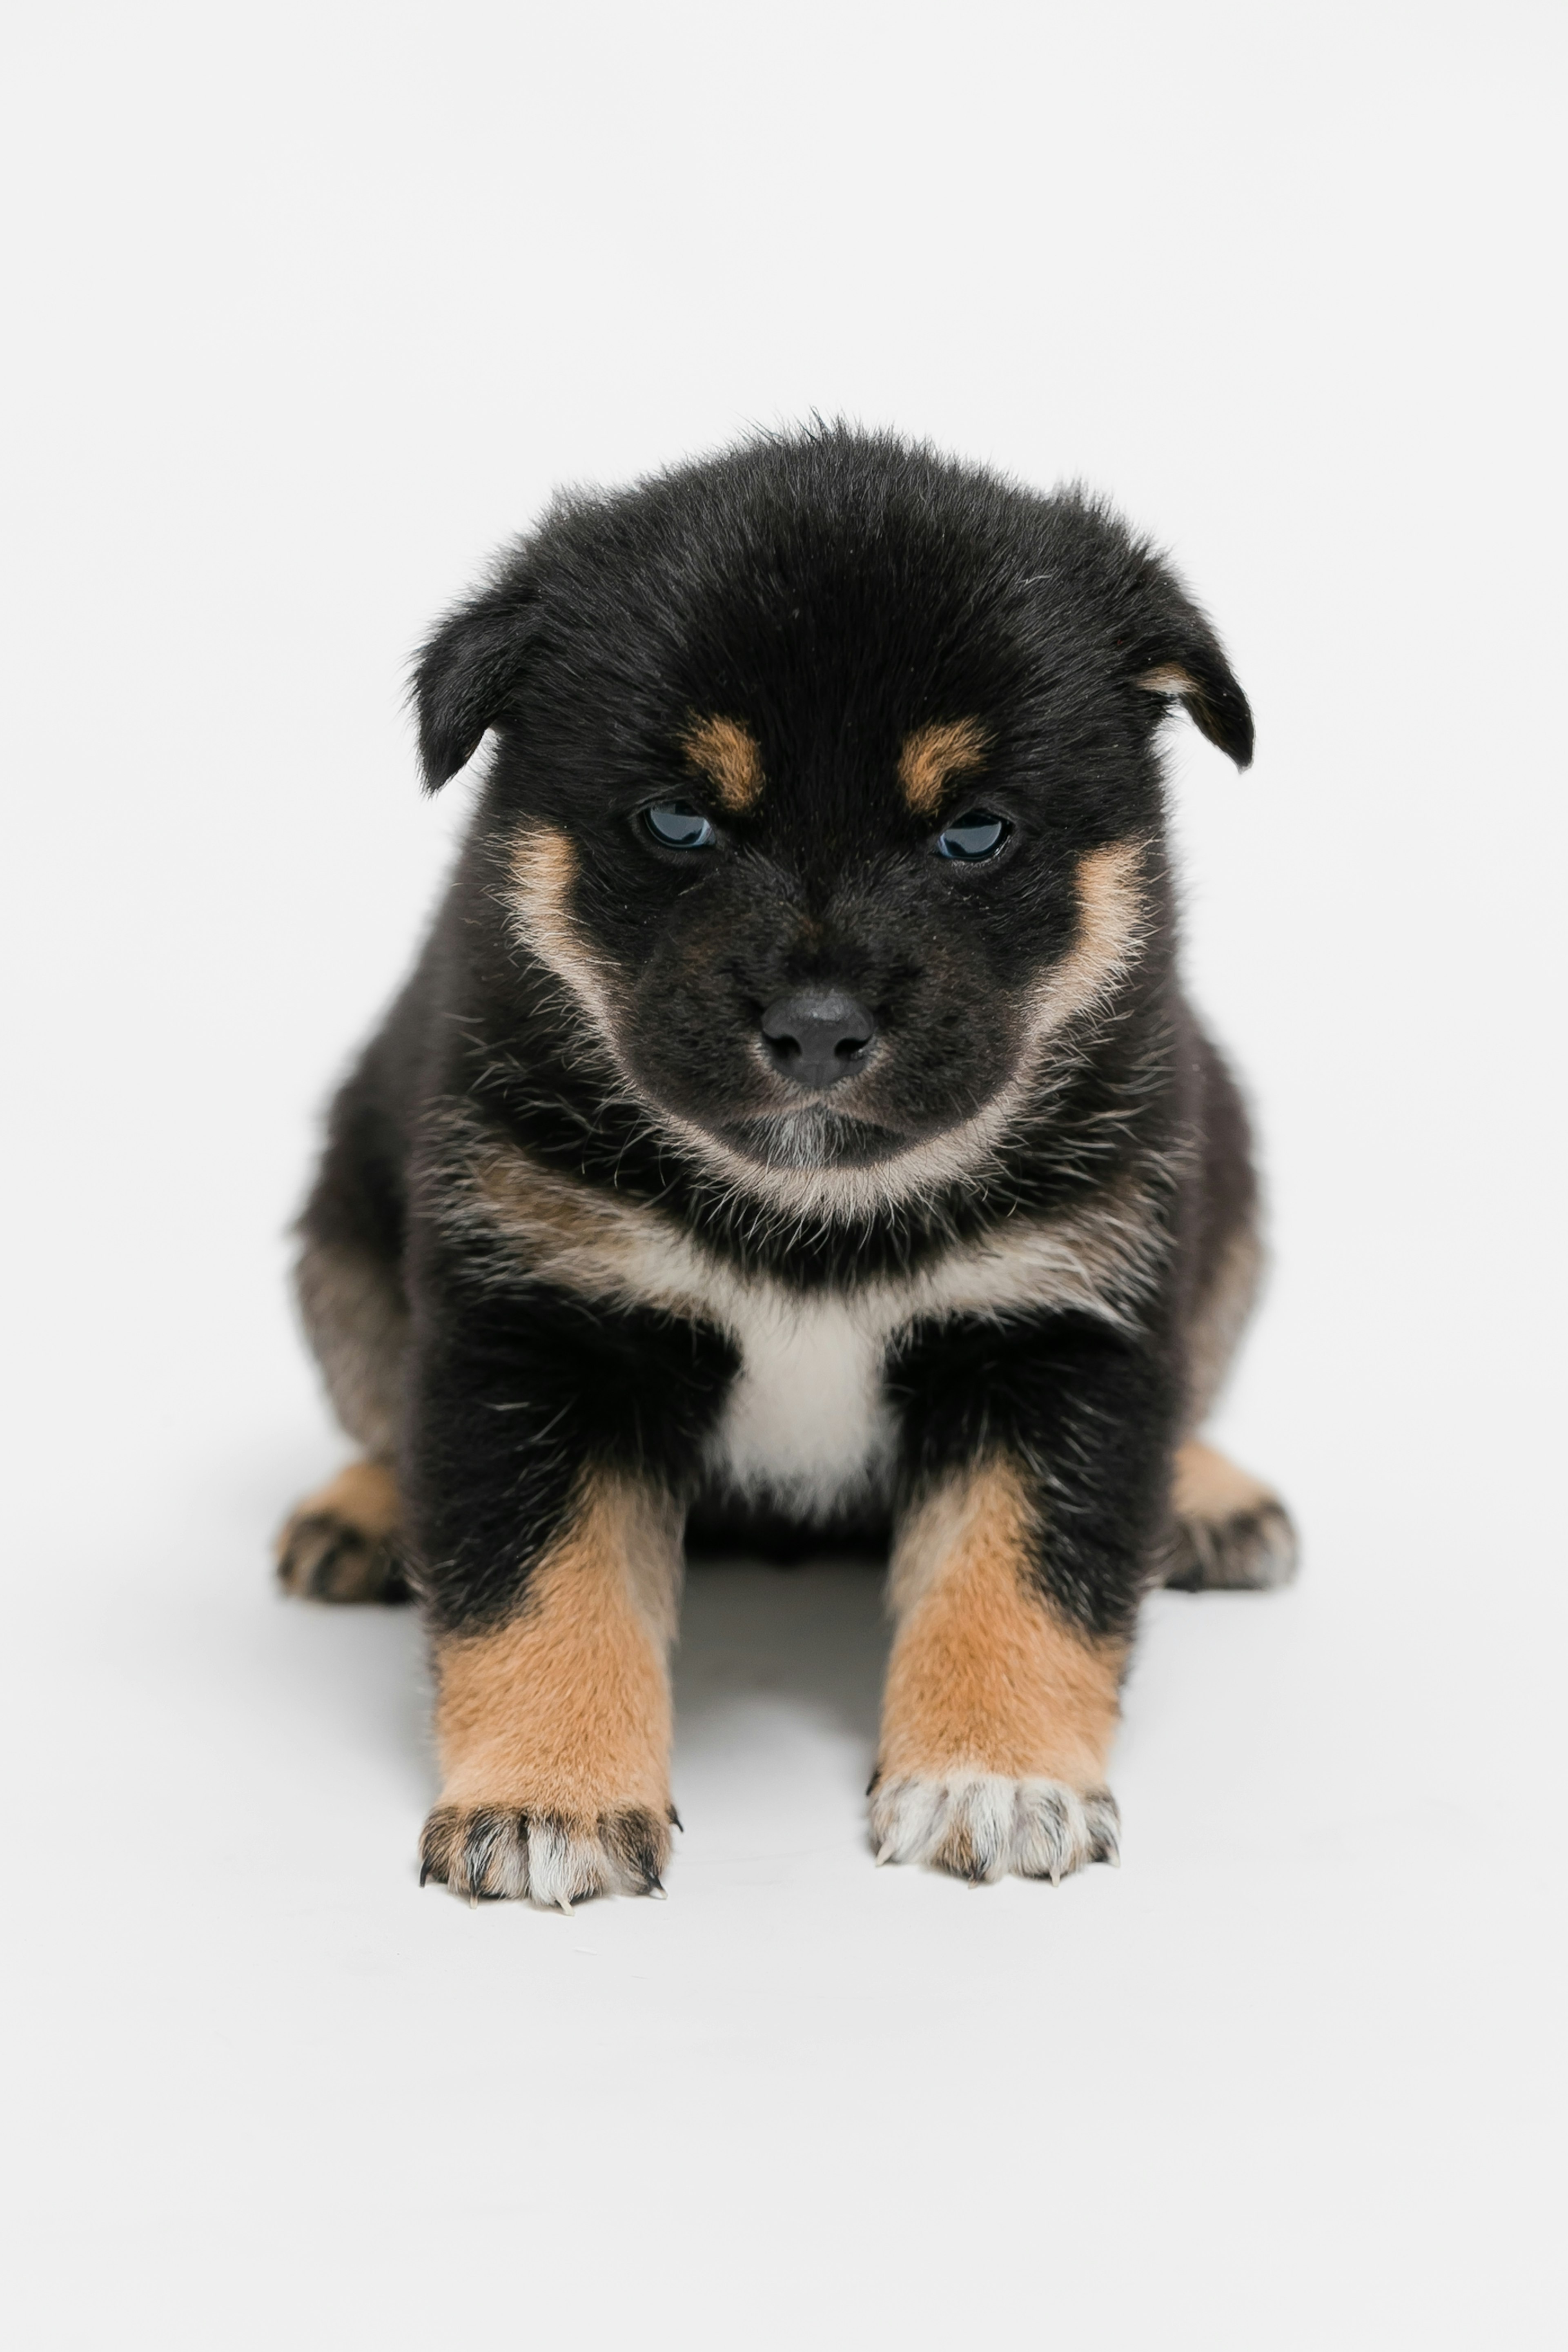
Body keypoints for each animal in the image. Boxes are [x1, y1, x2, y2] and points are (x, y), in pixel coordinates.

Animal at [276, 423, 1297, 1910]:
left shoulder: (1059, 1330)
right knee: (376, 1407)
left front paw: (993, 1779)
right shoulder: (540, 1326)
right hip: (340, 1239)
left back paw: (1212, 1496)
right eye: (678, 823)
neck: (815, 1218)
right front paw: (547, 1798)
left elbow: (1023, 1576)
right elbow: (541, 1586)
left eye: (975, 831)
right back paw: (363, 1513)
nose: (818, 1026)